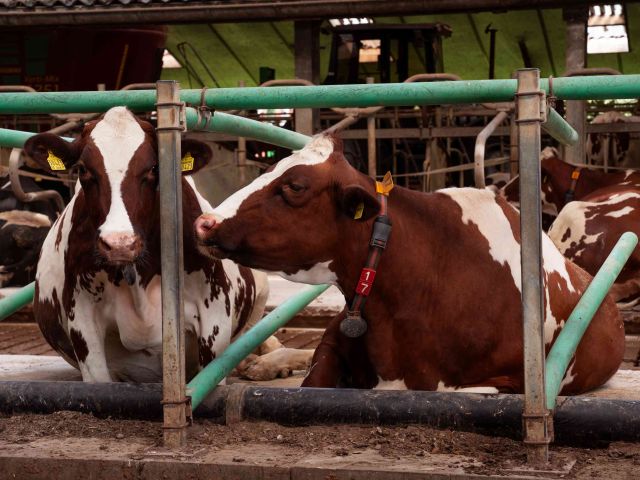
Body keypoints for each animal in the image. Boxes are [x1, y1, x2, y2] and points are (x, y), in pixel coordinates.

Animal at [23, 106, 297, 383]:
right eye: (83, 170)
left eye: (153, 168)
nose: (120, 243)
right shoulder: (82, 319)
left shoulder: (215, 314)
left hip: (261, 289)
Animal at [194, 134, 624, 394]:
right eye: (269, 167)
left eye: (295, 186)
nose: (205, 221)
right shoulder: (336, 344)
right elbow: (312, 380)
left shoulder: (501, 380)